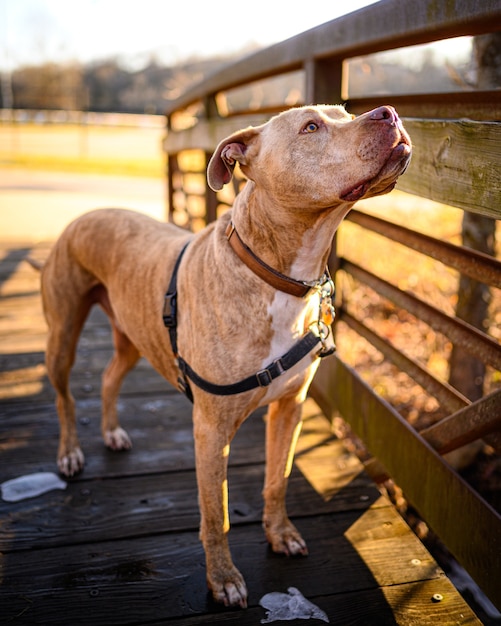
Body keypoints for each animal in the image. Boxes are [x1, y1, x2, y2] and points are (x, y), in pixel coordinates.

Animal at [40, 105, 410, 608]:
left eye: (347, 113)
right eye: (311, 127)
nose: (389, 112)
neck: (277, 275)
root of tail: (89, 212)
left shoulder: (289, 408)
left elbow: (278, 478)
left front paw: (280, 534)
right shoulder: (211, 430)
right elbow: (217, 513)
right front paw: (223, 579)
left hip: (133, 335)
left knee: (109, 377)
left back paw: (112, 431)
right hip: (62, 336)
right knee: (64, 396)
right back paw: (70, 454)